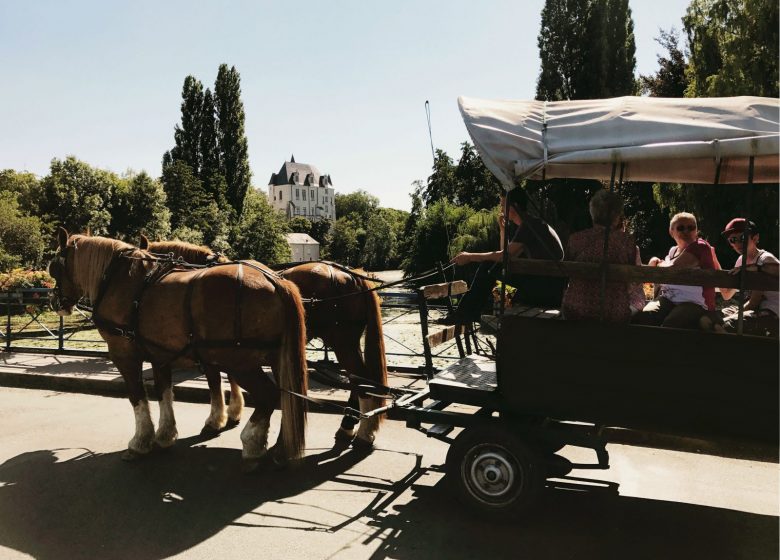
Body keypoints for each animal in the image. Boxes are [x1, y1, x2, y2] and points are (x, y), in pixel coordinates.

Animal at [49, 228, 308, 468]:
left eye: (54, 267)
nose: (55, 302)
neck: (121, 281)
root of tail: (276, 280)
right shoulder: (161, 354)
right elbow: (164, 392)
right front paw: (165, 435)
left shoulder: (124, 353)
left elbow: (137, 396)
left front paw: (140, 442)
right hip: (275, 357)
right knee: (287, 397)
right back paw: (280, 447)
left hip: (240, 361)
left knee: (269, 395)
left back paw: (252, 444)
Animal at [141, 235, 390, 446]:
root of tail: (353, 274)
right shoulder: (230, 348)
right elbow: (229, 377)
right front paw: (233, 412)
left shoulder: (212, 349)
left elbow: (215, 381)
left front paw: (217, 419)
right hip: (348, 343)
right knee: (359, 380)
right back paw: (351, 425)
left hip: (342, 342)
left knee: (362, 381)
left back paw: (360, 430)